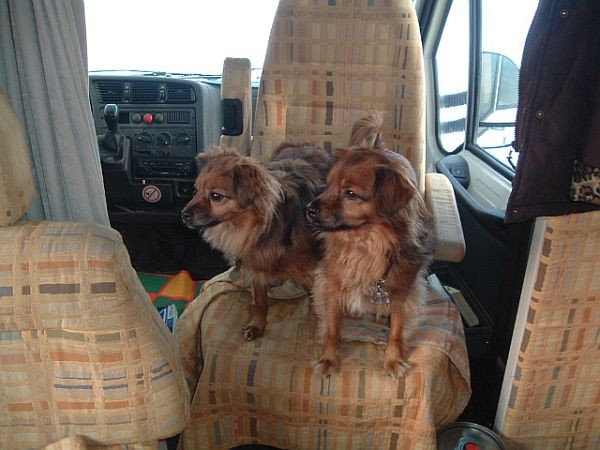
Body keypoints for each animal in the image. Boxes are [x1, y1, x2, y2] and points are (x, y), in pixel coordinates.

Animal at [181, 145, 330, 340]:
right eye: (195, 190)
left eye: (216, 196)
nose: (183, 214)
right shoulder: (257, 267)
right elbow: (260, 301)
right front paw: (257, 325)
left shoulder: (310, 273)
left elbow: (321, 302)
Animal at [306, 146, 434, 377]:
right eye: (327, 185)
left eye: (350, 194)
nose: (308, 209)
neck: (365, 244)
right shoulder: (330, 286)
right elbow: (332, 328)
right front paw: (329, 358)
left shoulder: (404, 292)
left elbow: (397, 330)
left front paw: (394, 359)